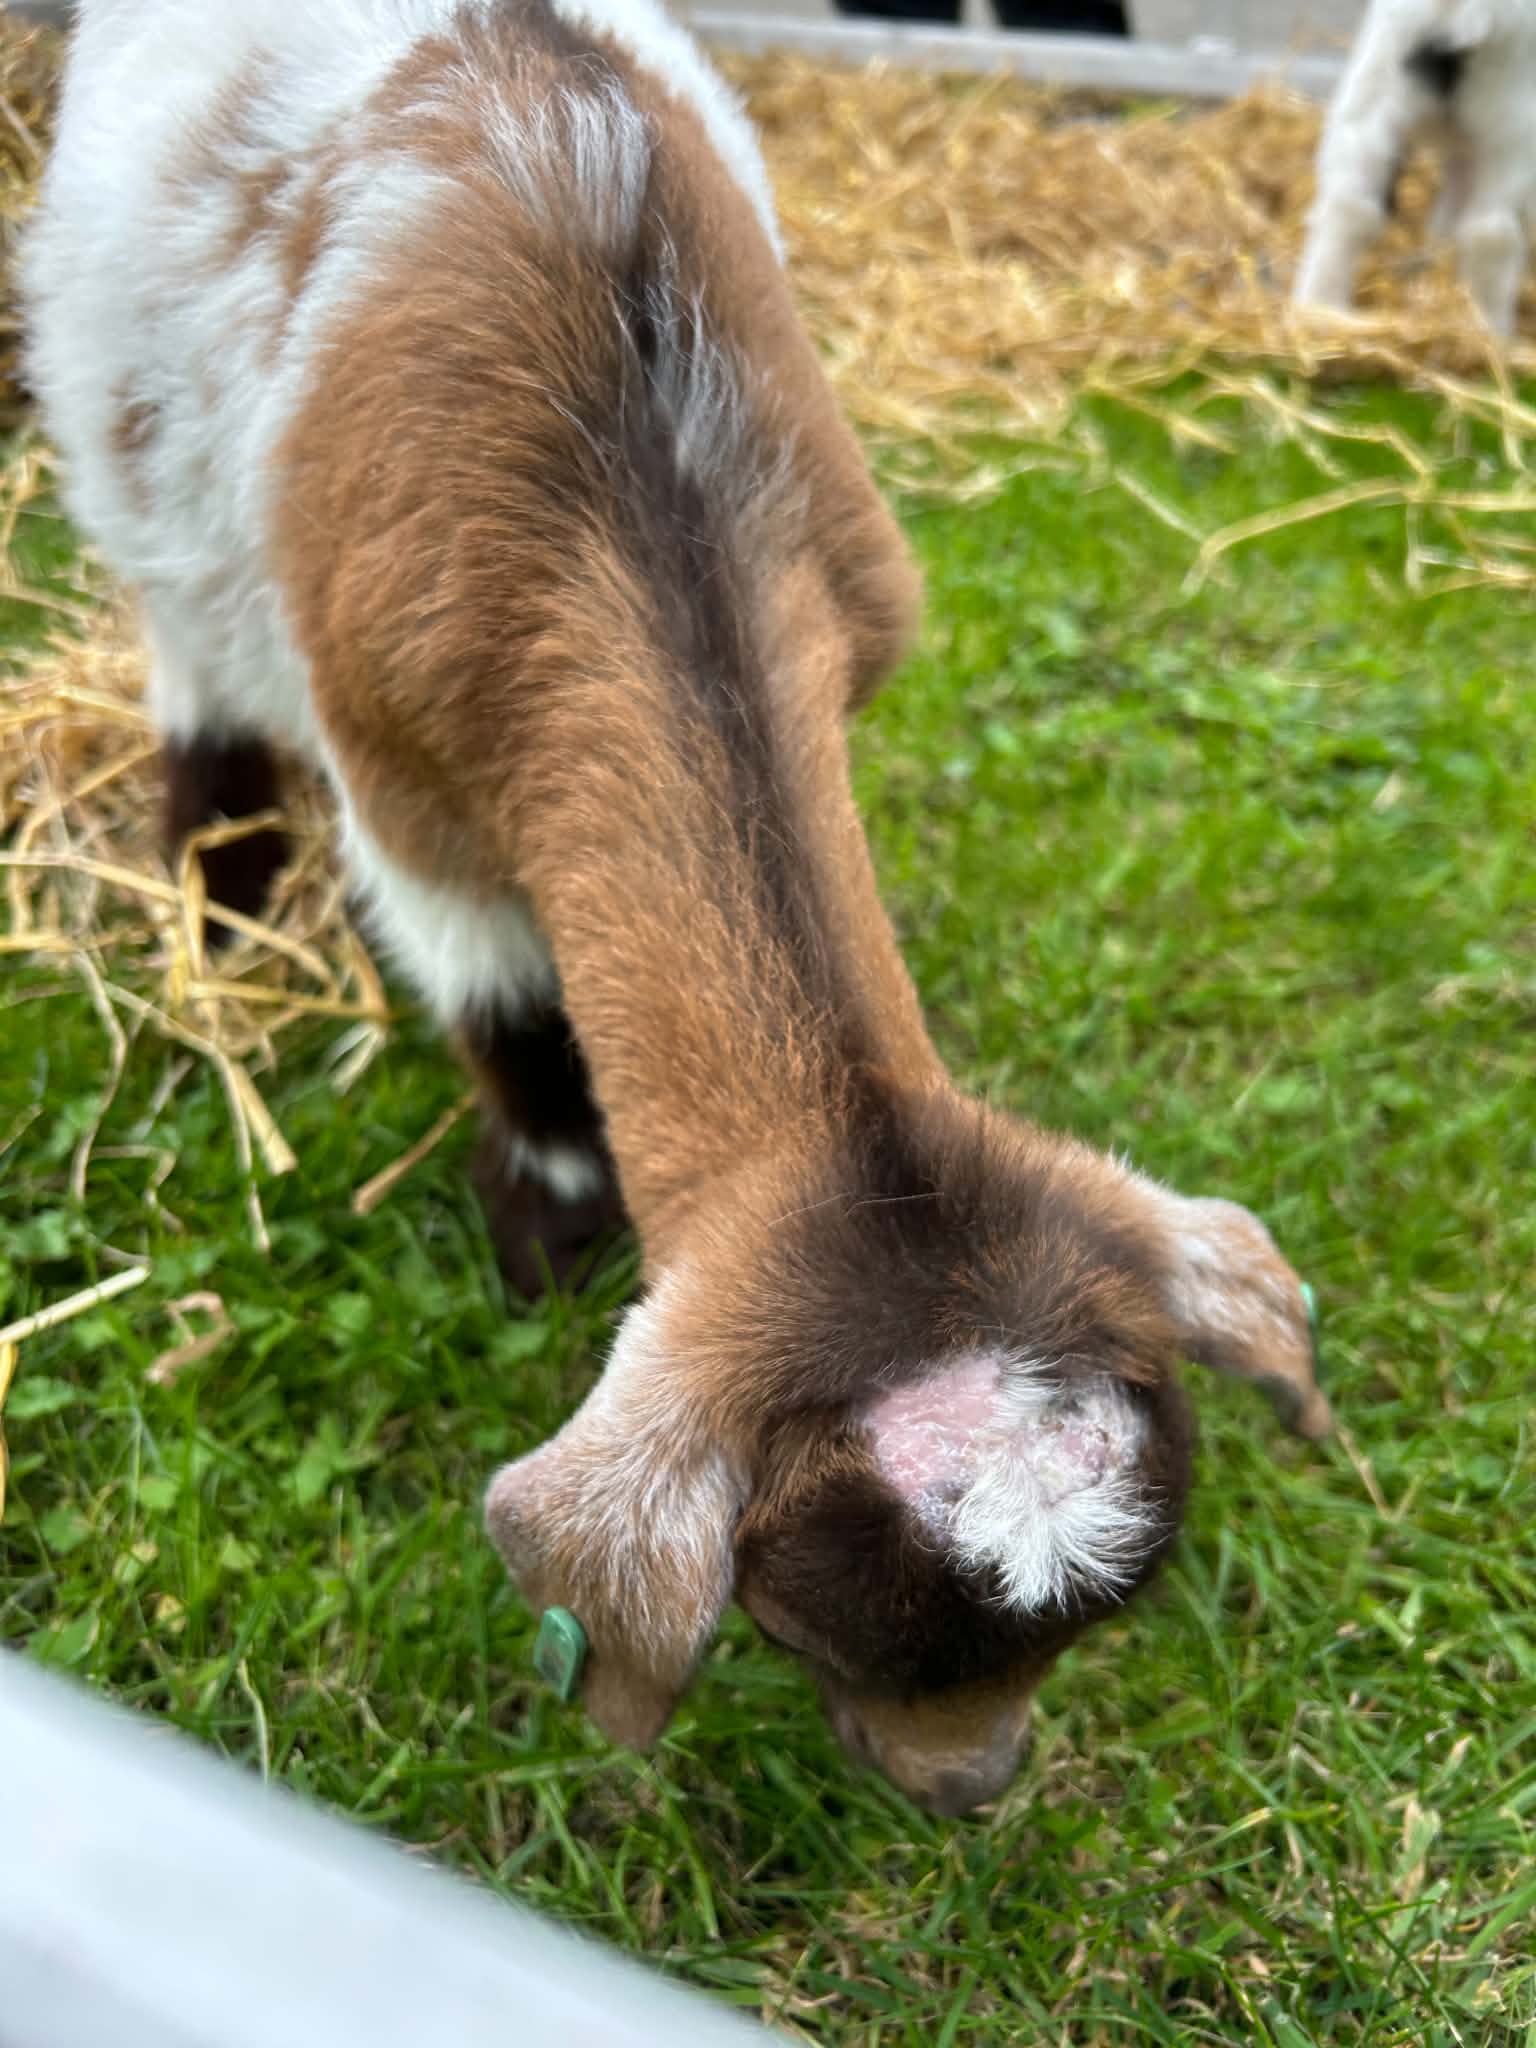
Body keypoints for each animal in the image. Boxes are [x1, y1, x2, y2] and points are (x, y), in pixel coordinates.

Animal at [27, 0, 1330, 1815]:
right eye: (802, 1620)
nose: (970, 1788)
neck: (645, 496)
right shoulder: (405, 782)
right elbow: (502, 996)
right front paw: (548, 1230)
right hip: (140, 452)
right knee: (193, 652)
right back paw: (220, 917)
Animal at [1295, 0, 1536, 335]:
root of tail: (1459, 11)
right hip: (1514, 124)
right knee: (1493, 234)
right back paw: (1493, 334)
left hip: (1373, 97)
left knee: (1350, 207)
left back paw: (1319, 312)